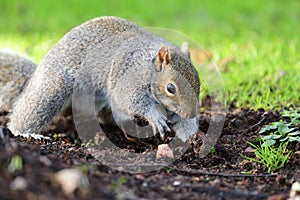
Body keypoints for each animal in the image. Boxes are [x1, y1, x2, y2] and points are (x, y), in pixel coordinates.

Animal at [1, 16, 202, 141]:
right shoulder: (128, 79)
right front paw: (155, 117)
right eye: (170, 88)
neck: (149, 67)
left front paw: (190, 135)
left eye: (198, 83)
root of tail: (37, 72)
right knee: (31, 109)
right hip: (55, 86)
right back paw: (25, 133)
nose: (191, 113)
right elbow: (130, 99)